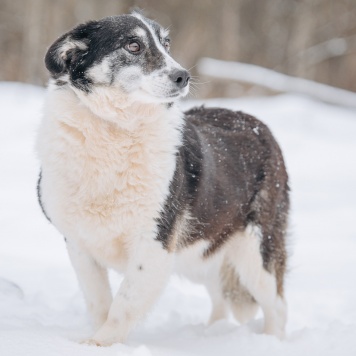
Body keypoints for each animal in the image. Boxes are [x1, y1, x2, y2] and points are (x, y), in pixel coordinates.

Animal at [36, 11, 290, 344]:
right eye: (133, 45)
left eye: (166, 44)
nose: (183, 76)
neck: (116, 129)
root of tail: (257, 124)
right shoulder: (79, 245)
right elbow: (99, 301)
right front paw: (95, 341)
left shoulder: (154, 244)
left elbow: (123, 305)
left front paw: (101, 343)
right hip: (202, 250)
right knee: (220, 297)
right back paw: (211, 333)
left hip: (255, 251)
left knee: (276, 305)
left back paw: (271, 341)